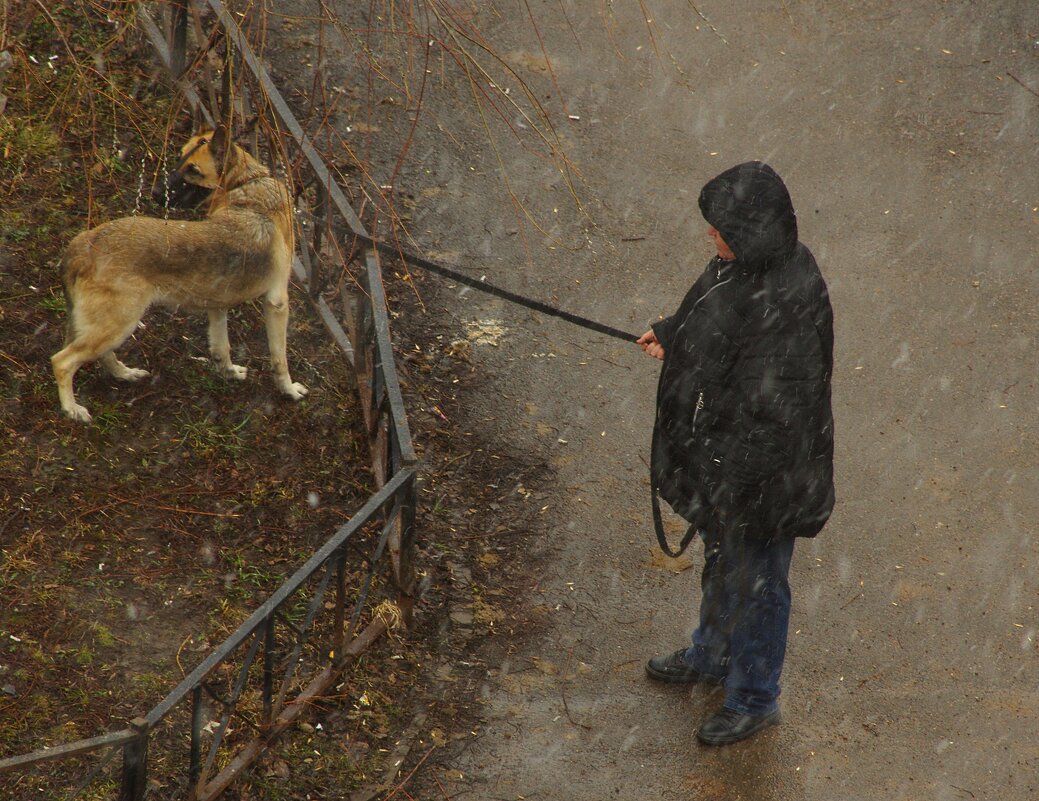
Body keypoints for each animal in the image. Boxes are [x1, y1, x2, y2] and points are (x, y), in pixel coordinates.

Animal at [50, 128, 305, 423]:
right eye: (180, 159)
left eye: (193, 169)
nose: (155, 192)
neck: (246, 184)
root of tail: (83, 244)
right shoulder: (277, 303)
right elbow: (279, 359)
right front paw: (289, 390)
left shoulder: (217, 303)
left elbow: (221, 347)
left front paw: (227, 373)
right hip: (119, 323)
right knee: (62, 361)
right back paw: (72, 409)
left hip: (112, 326)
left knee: (100, 354)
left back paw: (124, 373)